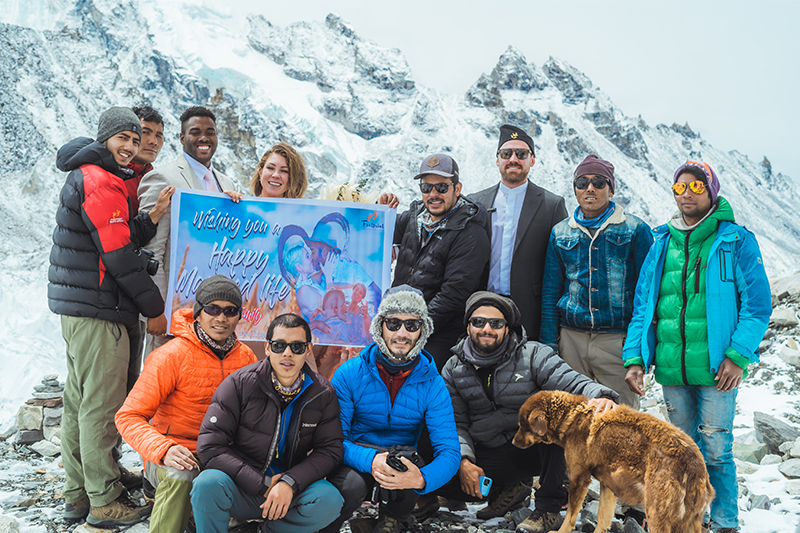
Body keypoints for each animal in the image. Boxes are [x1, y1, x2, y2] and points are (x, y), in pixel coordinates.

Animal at [512, 388, 712, 528]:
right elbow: (602, 518)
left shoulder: (579, 478)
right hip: (691, 520)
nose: (512, 442)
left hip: (657, 512)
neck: (571, 417)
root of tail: (694, 463)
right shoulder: (608, 484)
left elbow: (569, 517)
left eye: (523, 426)